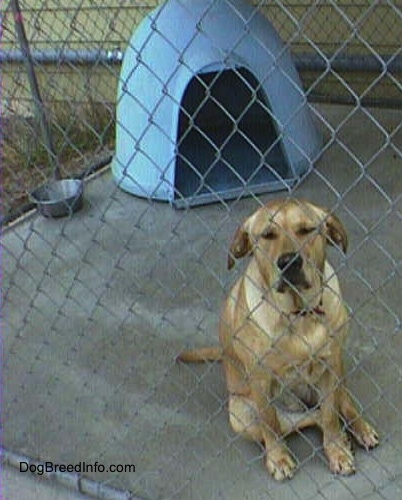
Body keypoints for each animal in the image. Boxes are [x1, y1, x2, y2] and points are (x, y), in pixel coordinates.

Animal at [177, 197, 378, 478]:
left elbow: (330, 415)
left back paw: (360, 430)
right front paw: (279, 458)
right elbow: (270, 424)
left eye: (306, 230)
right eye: (267, 235)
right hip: (240, 415)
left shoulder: (330, 367)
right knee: (300, 420)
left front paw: (336, 451)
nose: (289, 262)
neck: (300, 315)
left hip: (338, 375)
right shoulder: (261, 380)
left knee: (339, 406)